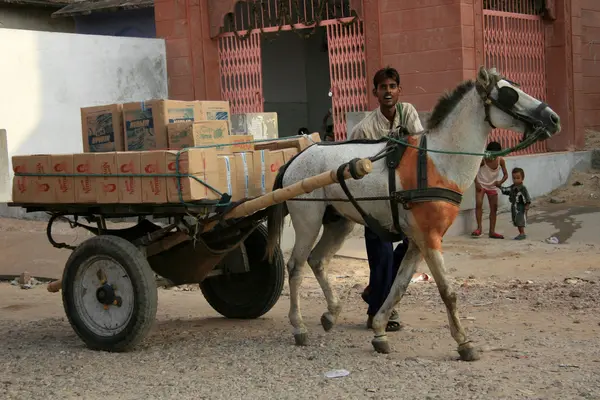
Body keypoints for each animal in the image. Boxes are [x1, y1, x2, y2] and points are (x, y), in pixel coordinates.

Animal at [264, 65, 560, 360]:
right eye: (510, 95)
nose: (554, 118)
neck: (438, 161)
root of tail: (297, 158)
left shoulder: (418, 240)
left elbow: (400, 285)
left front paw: (380, 329)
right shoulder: (430, 238)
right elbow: (447, 291)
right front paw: (464, 342)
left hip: (338, 222)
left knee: (318, 260)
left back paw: (331, 313)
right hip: (308, 220)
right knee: (296, 266)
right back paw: (299, 326)